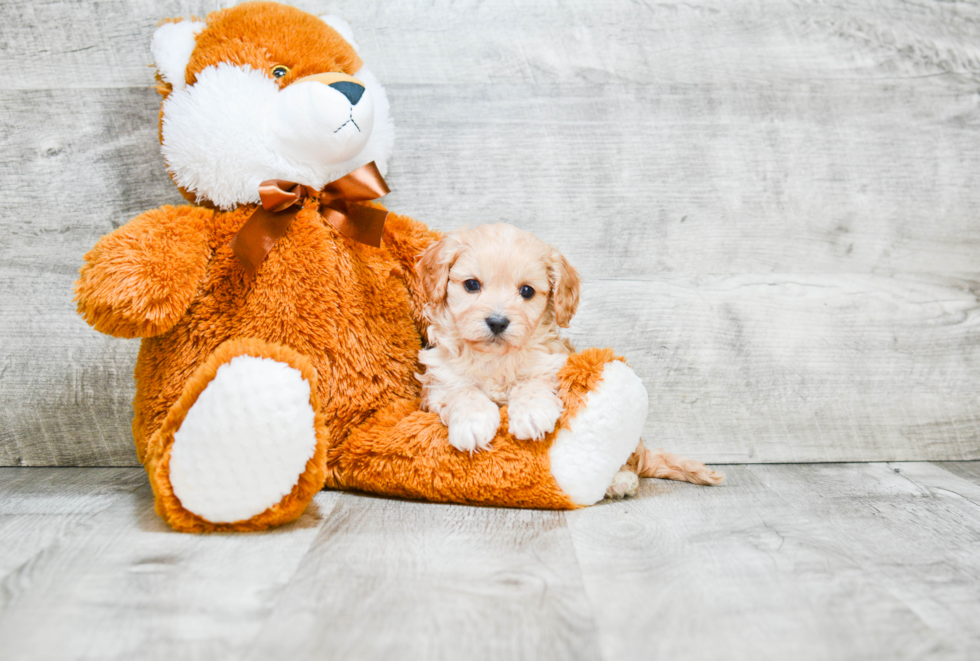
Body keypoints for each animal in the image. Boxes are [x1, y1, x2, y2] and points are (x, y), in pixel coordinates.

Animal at [416, 224, 580, 452]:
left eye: (527, 291)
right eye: (472, 285)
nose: (497, 322)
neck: (494, 358)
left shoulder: (551, 362)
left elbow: (534, 381)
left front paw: (532, 411)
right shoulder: (438, 384)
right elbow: (462, 390)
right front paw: (471, 421)